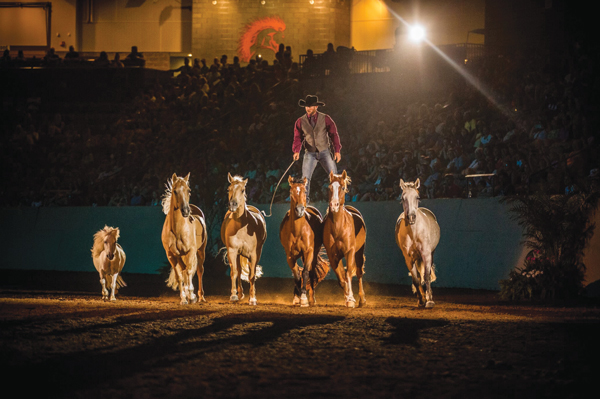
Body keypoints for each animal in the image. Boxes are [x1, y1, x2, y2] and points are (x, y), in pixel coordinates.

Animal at [161, 173, 207, 306]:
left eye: (188, 190)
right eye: (175, 191)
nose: (186, 211)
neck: (177, 229)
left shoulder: (190, 252)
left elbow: (189, 272)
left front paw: (191, 296)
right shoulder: (171, 255)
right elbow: (180, 276)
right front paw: (183, 298)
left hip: (201, 251)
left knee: (199, 270)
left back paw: (200, 297)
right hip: (180, 256)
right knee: (184, 270)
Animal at [220, 173, 268, 306]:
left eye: (242, 190)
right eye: (228, 189)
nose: (232, 204)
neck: (241, 226)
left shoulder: (254, 254)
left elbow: (252, 275)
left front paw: (252, 299)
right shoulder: (232, 251)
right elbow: (234, 272)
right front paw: (233, 296)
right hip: (237, 254)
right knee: (239, 270)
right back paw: (240, 294)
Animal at [280, 177, 330, 308]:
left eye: (304, 191)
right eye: (291, 192)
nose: (299, 209)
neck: (298, 230)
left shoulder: (308, 252)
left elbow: (306, 273)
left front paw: (303, 298)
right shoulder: (289, 256)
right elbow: (297, 274)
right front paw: (297, 297)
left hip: (313, 253)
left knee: (311, 272)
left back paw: (312, 298)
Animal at [324, 170, 366, 308]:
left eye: (342, 187)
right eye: (329, 188)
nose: (334, 205)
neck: (339, 227)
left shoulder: (350, 252)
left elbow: (348, 275)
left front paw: (351, 299)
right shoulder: (332, 255)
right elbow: (341, 278)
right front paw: (348, 298)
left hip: (359, 252)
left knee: (358, 272)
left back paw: (362, 300)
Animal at [394, 180, 440, 308]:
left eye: (417, 197)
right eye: (403, 198)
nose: (411, 217)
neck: (414, 233)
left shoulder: (426, 254)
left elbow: (427, 276)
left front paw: (429, 301)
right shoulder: (409, 258)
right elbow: (416, 279)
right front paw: (421, 300)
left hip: (431, 254)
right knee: (418, 276)